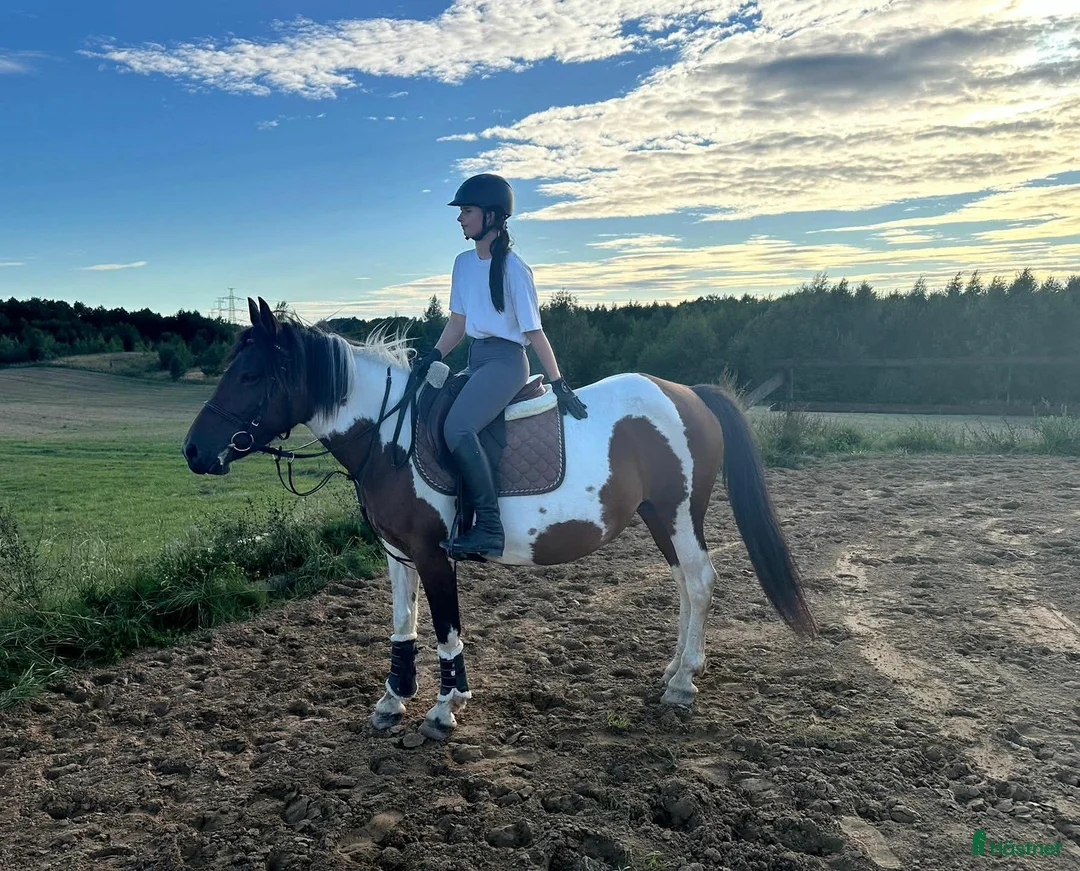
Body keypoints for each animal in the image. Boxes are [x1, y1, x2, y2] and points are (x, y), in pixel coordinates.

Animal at [182, 298, 817, 740]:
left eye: (250, 376)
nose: (194, 452)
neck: (390, 435)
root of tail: (688, 393)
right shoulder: (396, 552)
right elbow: (404, 623)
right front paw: (392, 699)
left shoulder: (434, 553)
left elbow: (445, 629)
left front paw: (444, 708)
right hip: (660, 518)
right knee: (685, 583)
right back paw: (676, 669)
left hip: (679, 513)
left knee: (701, 581)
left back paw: (684, 682)